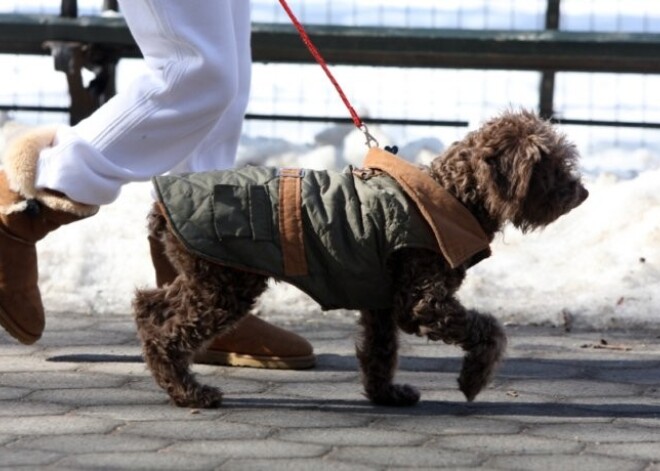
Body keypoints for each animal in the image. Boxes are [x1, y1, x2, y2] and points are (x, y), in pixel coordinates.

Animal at [133, 111, 588, 410]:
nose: (581, 193)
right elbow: (490, 330)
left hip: (205, 277)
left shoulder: (382, 302)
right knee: (168, 335)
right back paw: (189, 392)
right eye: (552, 166)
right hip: (224, 282)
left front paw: (386, 394)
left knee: (149, 307)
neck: (453, 195)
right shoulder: (422, 302)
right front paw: (474, 378)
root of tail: (160, 207)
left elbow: (380, 352)